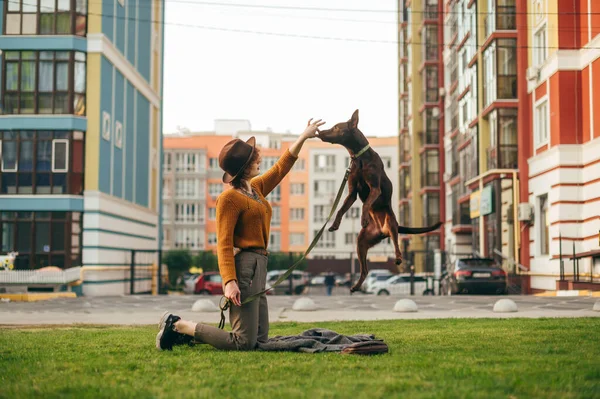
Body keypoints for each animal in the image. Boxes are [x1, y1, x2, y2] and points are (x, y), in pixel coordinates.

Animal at [318, 111, 440, 292]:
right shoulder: (352, 193)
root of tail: (381, 231)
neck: (359, 157)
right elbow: (341, 209)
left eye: (336, 128)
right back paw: (356, 286)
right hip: (361, 242)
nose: (319, 132)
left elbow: (366, 203)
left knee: (397, 244)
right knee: (365, 270)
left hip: (391, 224)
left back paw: (398, 257)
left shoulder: (375, 189)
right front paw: (335, 224)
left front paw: (363, 218)